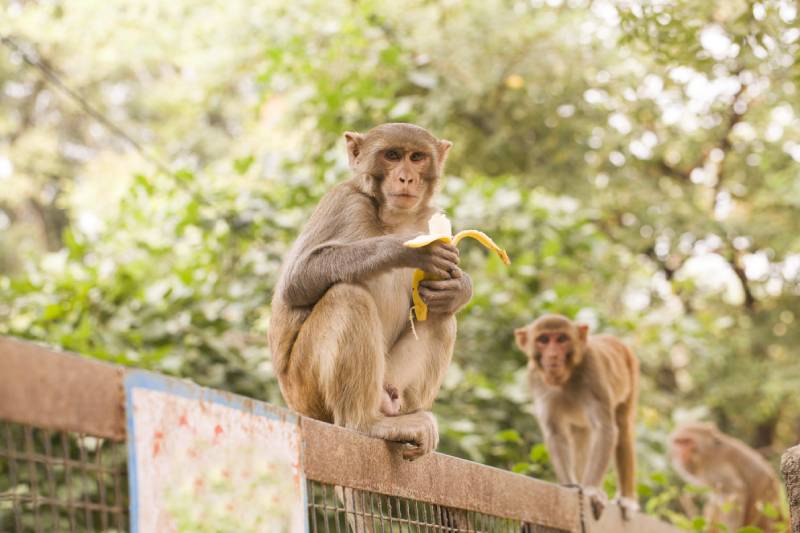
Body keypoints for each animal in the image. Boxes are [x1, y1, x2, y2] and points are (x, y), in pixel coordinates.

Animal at [268, 121, 472, 462]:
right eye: (392, 156)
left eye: (417, 157)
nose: (406, 178)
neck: (393, 219)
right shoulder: (343, 202)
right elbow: (296, 281)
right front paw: (405, 249)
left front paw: (458, 288)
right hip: (305, 387)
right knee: (347, 296)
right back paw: (365, 423)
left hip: (389, 381)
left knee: (442, 316)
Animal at [516, 314, 640, 516]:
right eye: (543, 340)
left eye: (561, 339)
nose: (552, 355)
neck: (566, 377)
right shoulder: (535, 378)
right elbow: (556, 433)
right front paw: (572, 486)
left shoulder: (593, 369)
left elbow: (605, 429)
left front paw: (591, 489)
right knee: (581, 435)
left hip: (632, 374)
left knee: (623, 429)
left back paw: (627, 499)